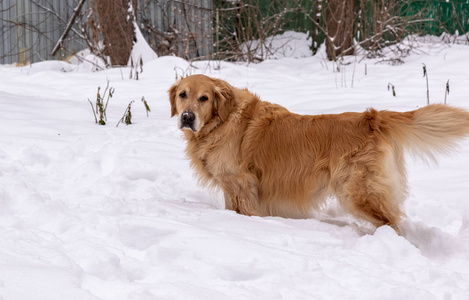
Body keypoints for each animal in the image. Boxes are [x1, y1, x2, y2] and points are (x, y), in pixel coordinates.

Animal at [168, 74, 468, 232]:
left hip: (356, 191)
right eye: (182, 94)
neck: (222, 120)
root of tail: (371, 118)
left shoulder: (239, 182)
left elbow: (241, 211)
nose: (187, 117)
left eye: (204, 98)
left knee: (392, 222)